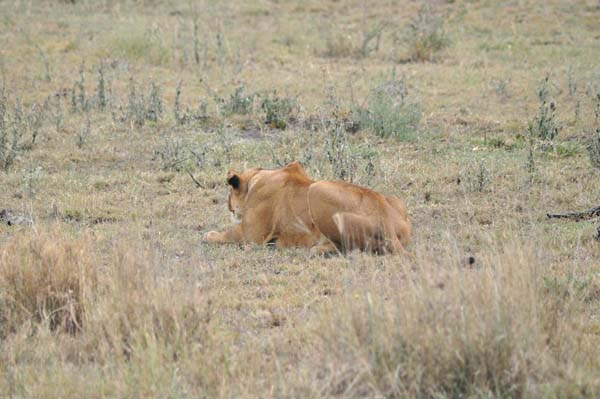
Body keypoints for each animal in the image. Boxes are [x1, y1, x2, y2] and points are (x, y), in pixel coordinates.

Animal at [204, 161, 410, 255]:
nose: (229, 207)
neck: (257, 178)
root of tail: (389, 225)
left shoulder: (252, 236)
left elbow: (227, 234)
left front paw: (209, 235)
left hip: (317, 189)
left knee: (346, 248)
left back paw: (314, 249)